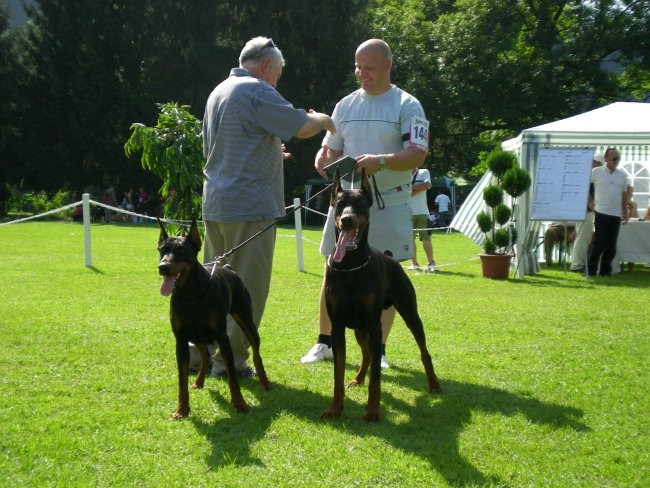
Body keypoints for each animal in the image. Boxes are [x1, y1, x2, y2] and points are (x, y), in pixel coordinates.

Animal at [156, 219, 270, 418]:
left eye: (181, 251)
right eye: (162, 250)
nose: (163, 267)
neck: (191, 294)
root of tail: (227, 268)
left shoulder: (222, 337)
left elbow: (232, 375)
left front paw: (240, 404)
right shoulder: (181, 340)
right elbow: (182, 379)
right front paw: (182, 409)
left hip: (246, 321)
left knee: (256, 353)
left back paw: (264, 381)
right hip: (197, 336)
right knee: (205, 356)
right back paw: (199, 381)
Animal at [322, 170, 440, 422]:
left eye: (359, 205)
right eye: (339, 204)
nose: (347, 219)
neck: (350, 264)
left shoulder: (375, 325)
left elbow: (376, 376)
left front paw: (373, 411)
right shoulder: (337, 325)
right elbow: (338, 372)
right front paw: (335, 408)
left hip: (409, 314)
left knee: (423, 351)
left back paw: (434, 385)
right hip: (359, 327)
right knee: (367, 354)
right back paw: (358, 378)